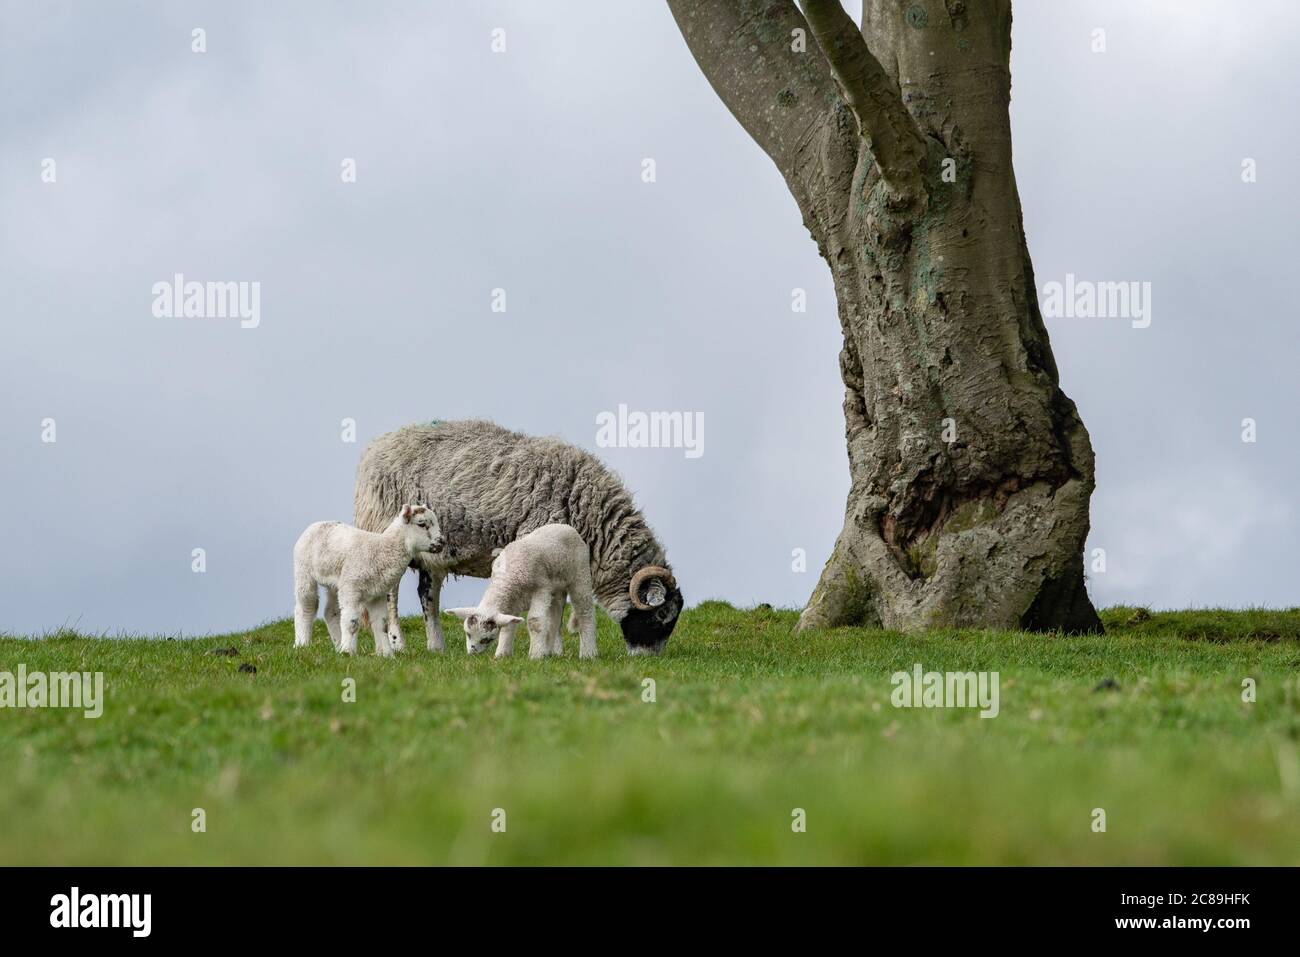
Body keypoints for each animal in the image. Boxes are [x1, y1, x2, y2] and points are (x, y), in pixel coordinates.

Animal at [293, 501, 444, 657]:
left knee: (331, 612)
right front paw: (349, 652)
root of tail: (316, 524)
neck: (382, 550)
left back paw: (338, 646)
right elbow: (351, 622)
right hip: (303, 570)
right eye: (422, 524)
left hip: (335, 583)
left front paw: (387, 655)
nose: (442, 542)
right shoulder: (351, 587)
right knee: (306, 606)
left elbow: (382, 624)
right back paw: (302, 644)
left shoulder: (377, 593)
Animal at [441, 522, 595, 665]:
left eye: (486, 639)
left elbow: (535, 621)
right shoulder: (511, 600)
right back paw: (550, 651)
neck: (508, 577)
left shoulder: (541, 589)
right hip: (556, 589)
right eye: (468, 634)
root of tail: (564, 526)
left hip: (580, 574)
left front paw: (535, 656)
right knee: (555, 618)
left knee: (585, 611)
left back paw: (588, 653)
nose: (472, 653)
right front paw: (502, 655)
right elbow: (508, 625)